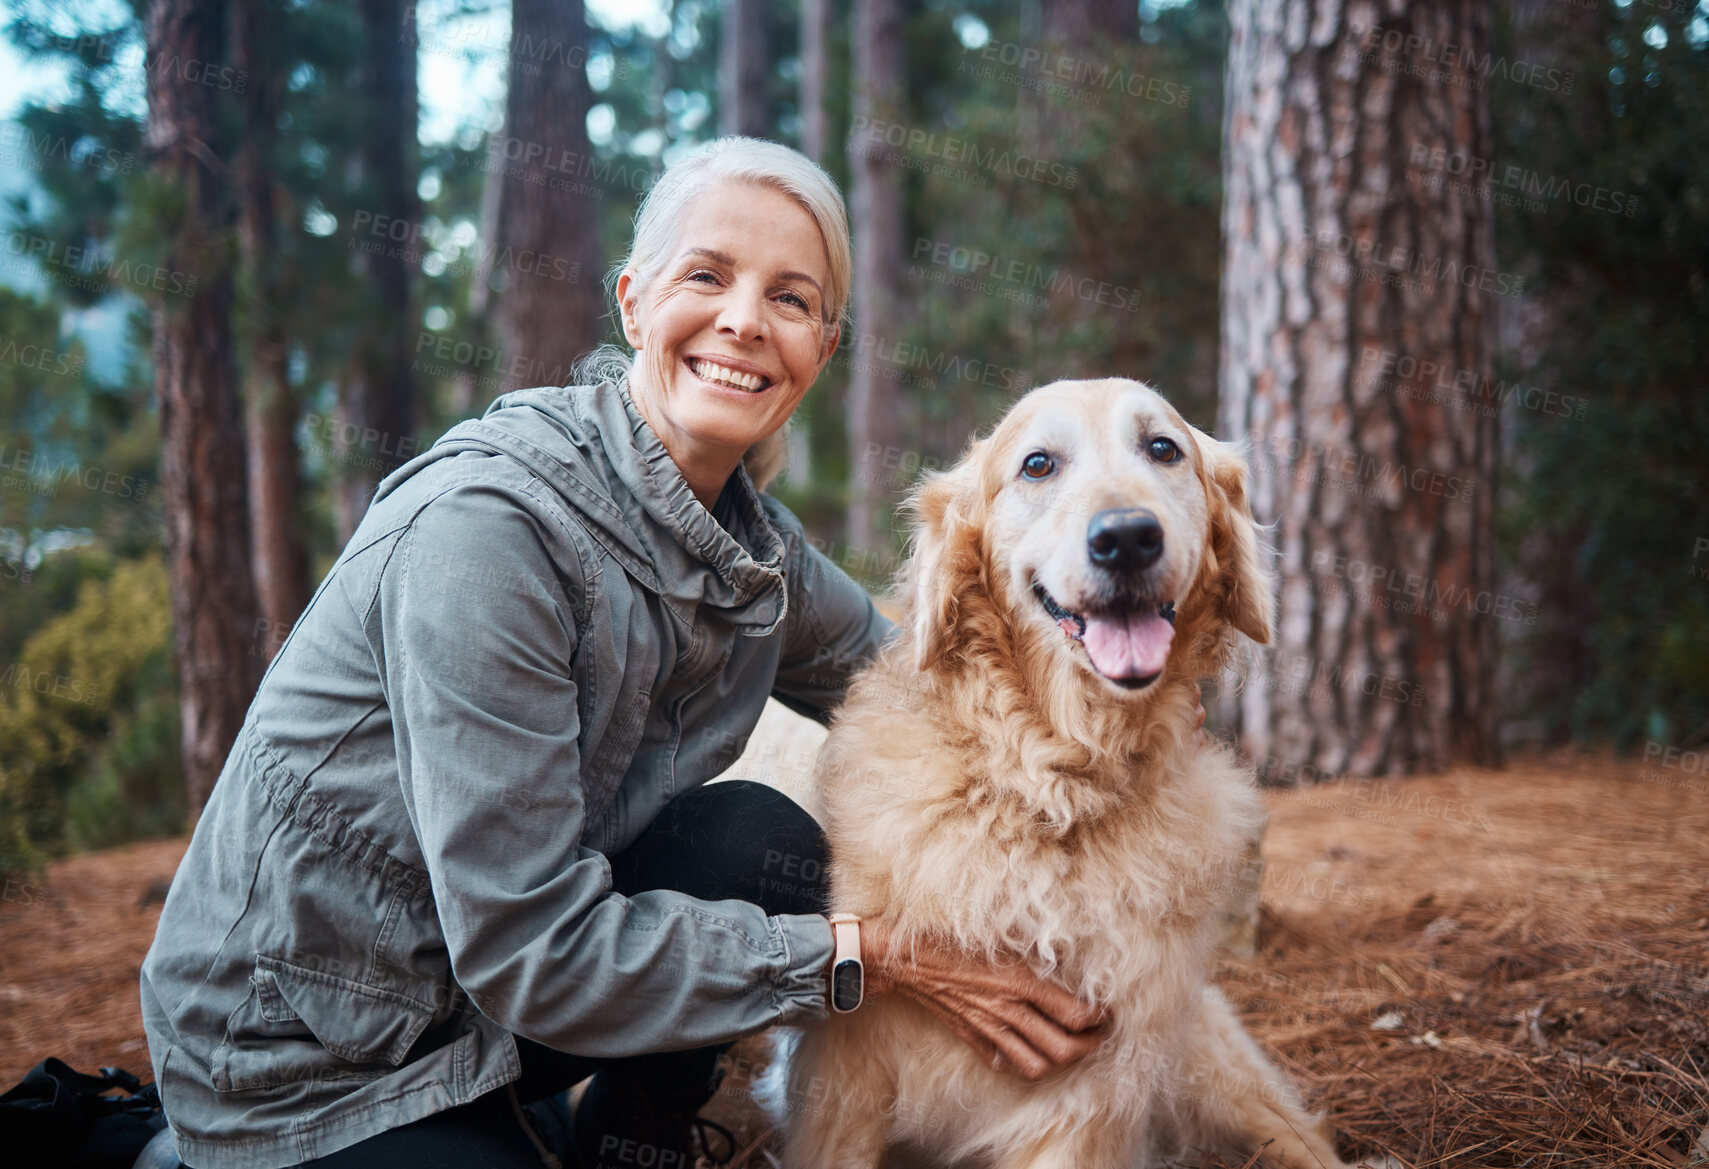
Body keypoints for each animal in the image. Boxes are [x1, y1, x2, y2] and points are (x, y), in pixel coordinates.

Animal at [782, 381, 1353, 1169]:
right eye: (1038, 464)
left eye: (1163, 448)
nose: (1127, 538)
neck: (1057, 784)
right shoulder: (844, 1078)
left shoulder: (1089, 1094)